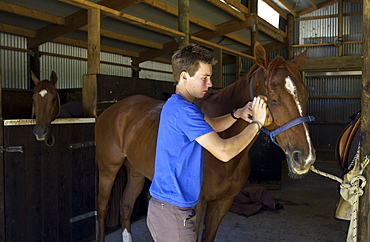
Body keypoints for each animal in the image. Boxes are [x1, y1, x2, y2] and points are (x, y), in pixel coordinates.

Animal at [95, 42, 316, 241]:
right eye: (273, 97)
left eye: (306, 94)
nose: (305, 158)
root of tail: (116, 109)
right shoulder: (196, 206)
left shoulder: (222, 202)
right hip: (108, 171)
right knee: (102, 209)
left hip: (136, 172)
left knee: (125, 206)